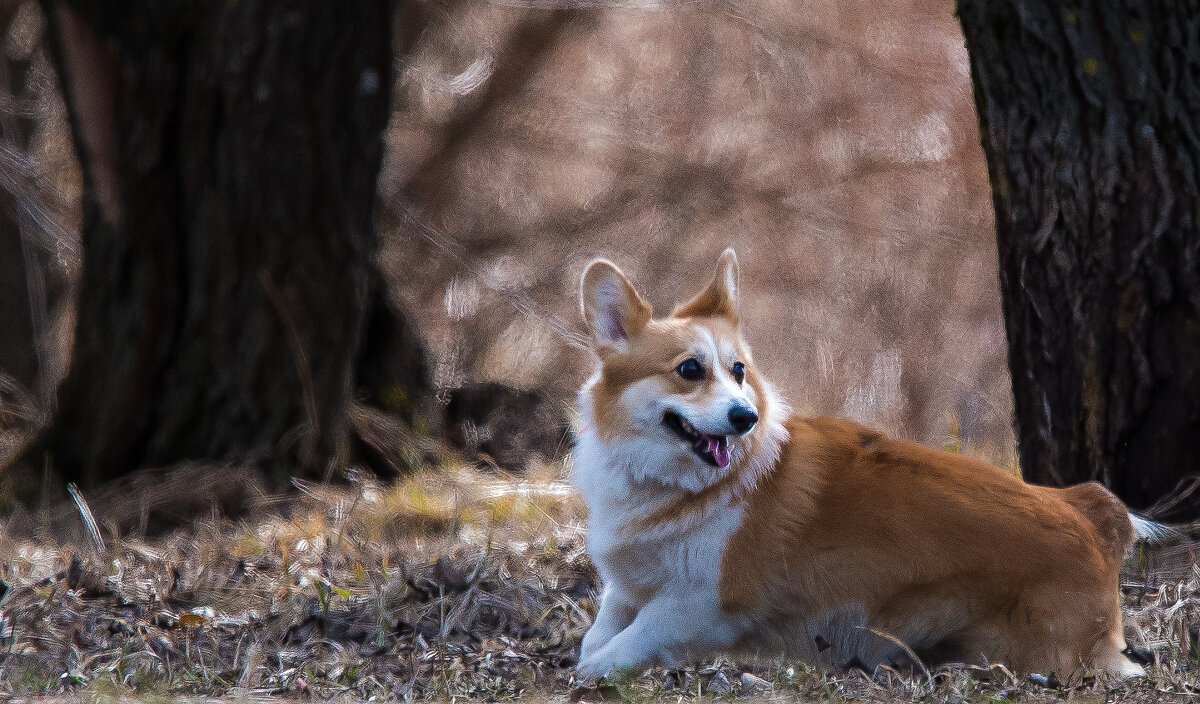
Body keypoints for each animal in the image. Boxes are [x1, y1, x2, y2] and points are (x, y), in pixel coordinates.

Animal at [568, 249, 1152, 681]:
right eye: (690, 370)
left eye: (738, 371)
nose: (746, 418)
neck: (680, 489)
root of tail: (1096, 523)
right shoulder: (627, 588)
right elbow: (597, 633)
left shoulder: (700, 604)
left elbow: (615, 649)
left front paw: (594, 673)